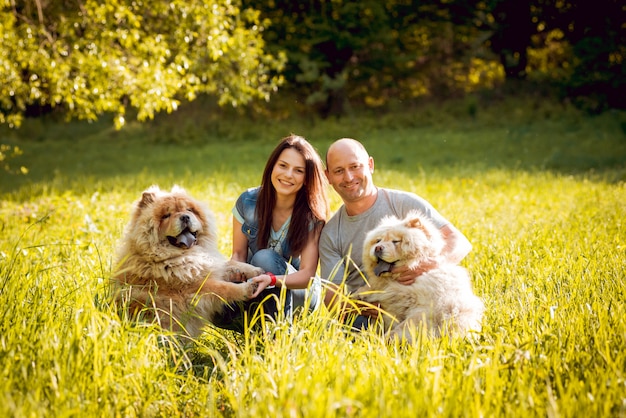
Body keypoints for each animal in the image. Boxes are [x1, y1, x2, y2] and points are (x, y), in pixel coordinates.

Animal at [111, 185, 262, 336]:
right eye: (166, 216)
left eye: (189, 210)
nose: (184, 217)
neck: (183, 256)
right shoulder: (192, 287)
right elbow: (223, 287)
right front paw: (248, 288)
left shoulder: (207, 266)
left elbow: (230, 264)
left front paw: (255, 270)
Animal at [356, 211, 482, 342]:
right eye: (378, 241)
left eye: (396, 241)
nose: (378, 248)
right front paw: (361, 294)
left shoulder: (424, 307)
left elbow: (405, 324)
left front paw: (388, 338)